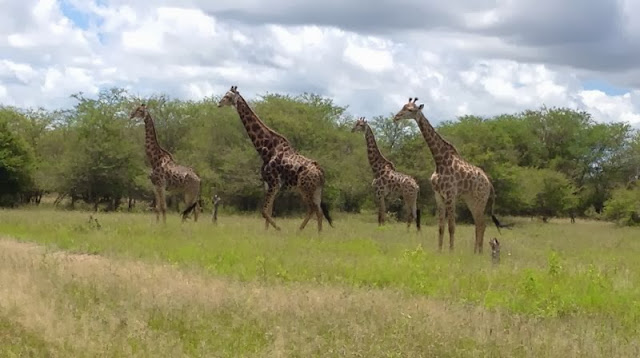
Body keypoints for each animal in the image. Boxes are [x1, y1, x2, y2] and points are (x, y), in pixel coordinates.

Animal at [216, 86, 332, 232]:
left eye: (227, 96)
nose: (219, 103)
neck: (266, 150)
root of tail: (320, 171)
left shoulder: (274, 183)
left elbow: (264, 211)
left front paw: (279, 229)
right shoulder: (267, 183)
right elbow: (268, 211)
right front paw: (267, 232)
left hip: (305, 187)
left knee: (313, 209)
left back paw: (301, 232)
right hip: (315, 189)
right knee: (318, 210)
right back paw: (313, 233)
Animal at [392, 96, 502, 253]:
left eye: (411, 110)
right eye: (403, 106)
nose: (396, 117)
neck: (439, 161)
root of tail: (489, 183)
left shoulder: (450, 194)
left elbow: (451, 226)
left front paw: (451, 251)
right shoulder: (438, 195)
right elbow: (441, 227)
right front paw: (439, 250)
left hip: (480, 199)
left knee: (482, 224)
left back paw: (479, 252)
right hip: (471, 200)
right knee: (479, 223)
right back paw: (475, 252)